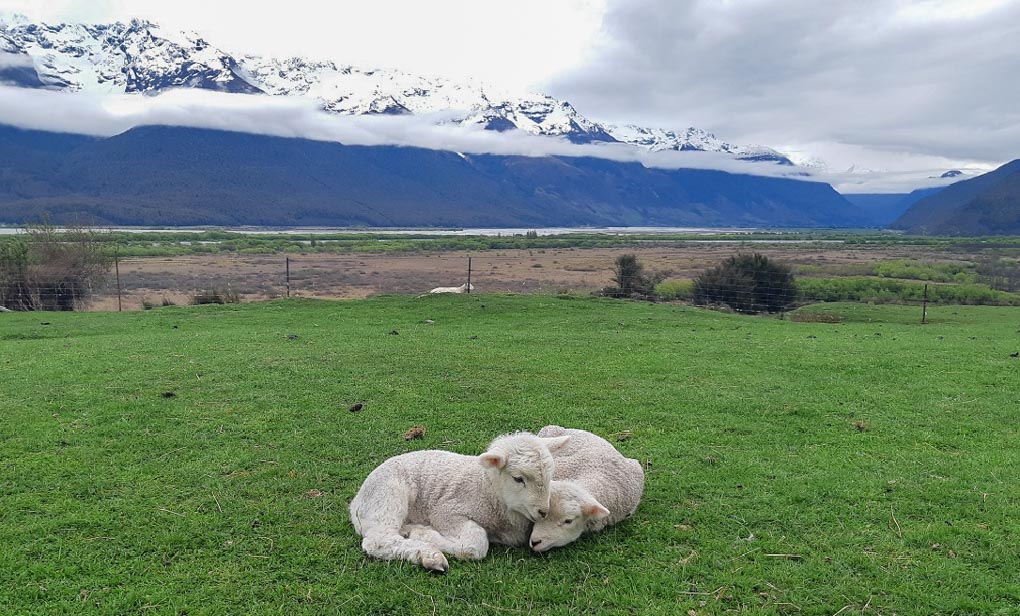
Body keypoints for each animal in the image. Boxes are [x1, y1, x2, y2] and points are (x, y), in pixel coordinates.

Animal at [349, 431, 570, 572]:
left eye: (550, 476)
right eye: (518, 479)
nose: (544, 512)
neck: (488, 489)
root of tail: (356, 503)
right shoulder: (446, 511)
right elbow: (476, 543)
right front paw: (424, 534)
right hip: (388, 496)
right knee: (378, 540)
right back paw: (428, 555)